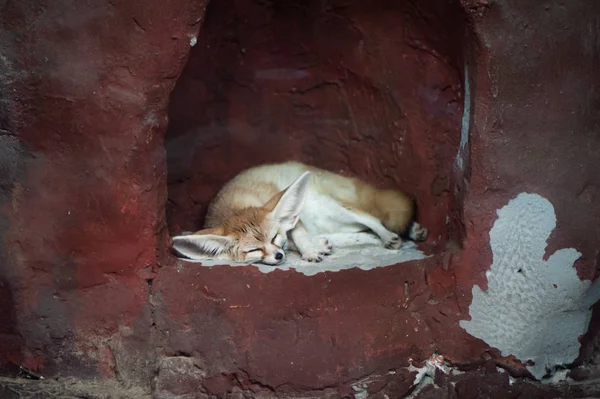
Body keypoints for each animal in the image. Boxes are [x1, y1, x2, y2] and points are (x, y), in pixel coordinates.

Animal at [171, 161, 428, 268]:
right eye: (254, 250)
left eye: (273, 238)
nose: (278, 256)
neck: (236, 205)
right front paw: (315, 247)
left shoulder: (293, 221)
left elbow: (297, 236)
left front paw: (309, 251)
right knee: (363, 231)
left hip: (326, 206)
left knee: (373, 219)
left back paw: (393, 235)